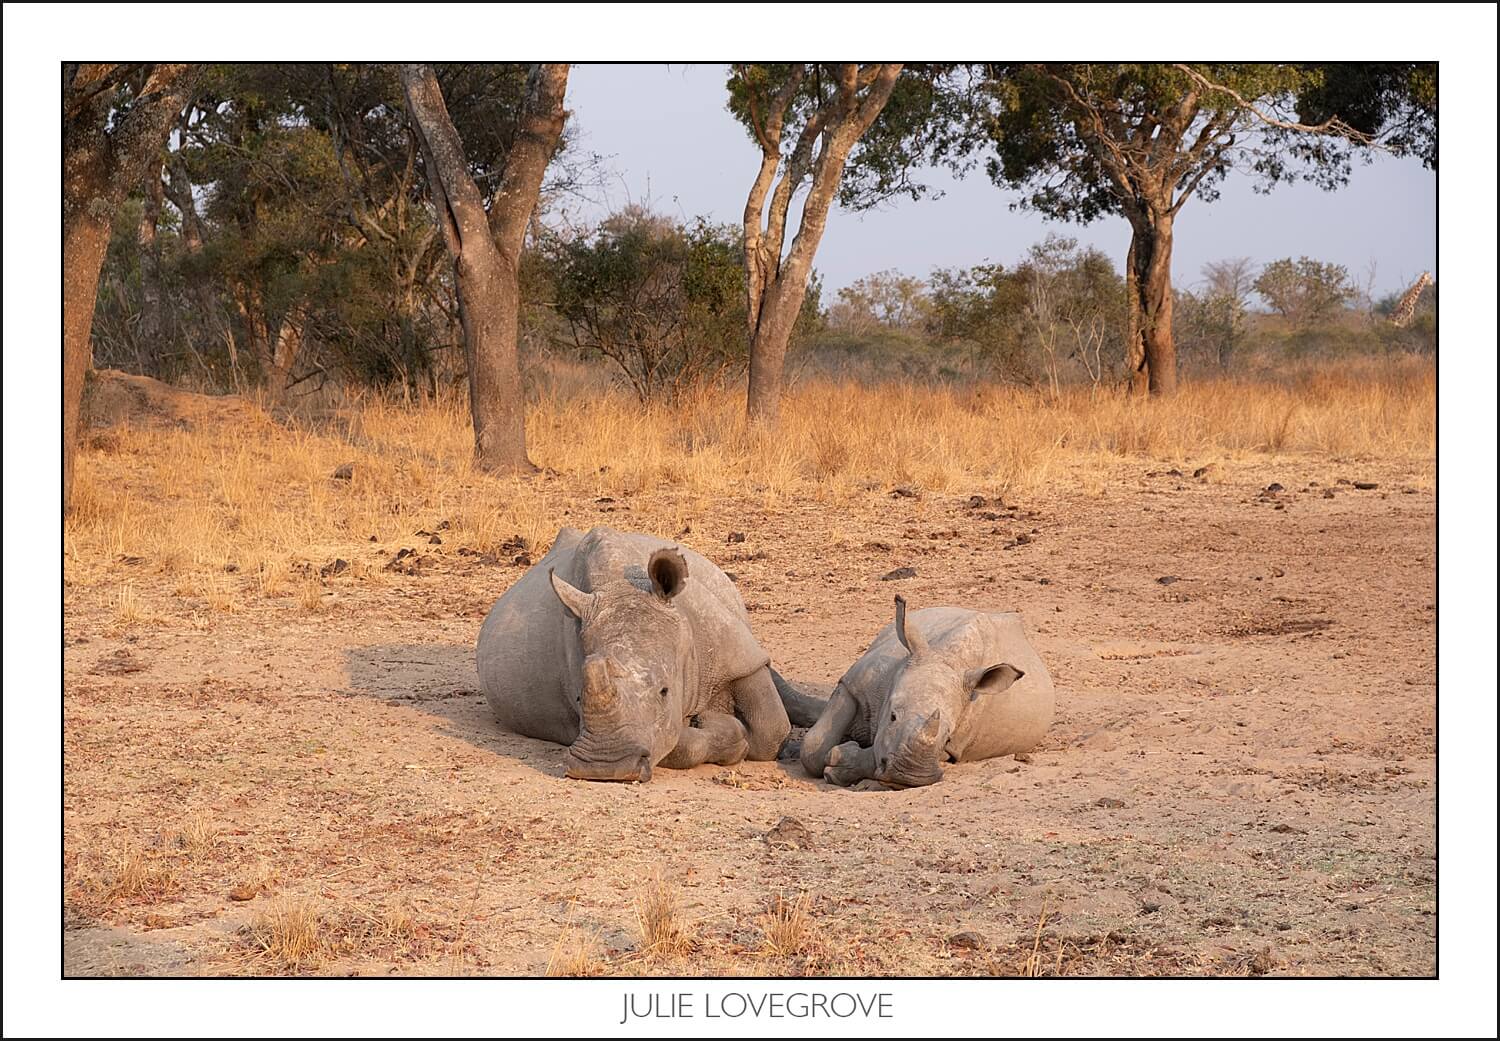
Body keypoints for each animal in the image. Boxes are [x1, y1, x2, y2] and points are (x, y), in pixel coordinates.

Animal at [476, 526, 793, 782]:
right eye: (578, 698)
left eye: (664, 691)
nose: (603, 768)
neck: (621, 587)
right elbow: (676, 742)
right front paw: (725, 731)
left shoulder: (733, 650)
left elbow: (771, 729)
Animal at [795, 596, 1054, 788]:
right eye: (892, 716)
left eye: (948, 737)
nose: (910, 777)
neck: (946, 657)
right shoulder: (853, 683)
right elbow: (813, 747)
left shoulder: (955, 745)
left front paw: (841, 764)